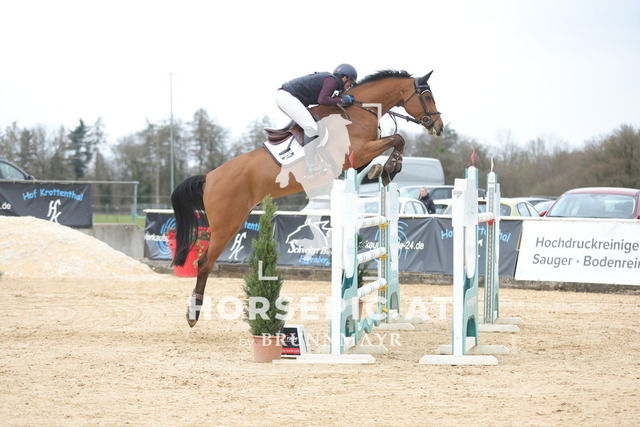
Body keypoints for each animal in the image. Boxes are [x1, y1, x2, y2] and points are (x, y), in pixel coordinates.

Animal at [171, 69, 444, 327]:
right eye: (428, 96)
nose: (438, 127)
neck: (357, 112)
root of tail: (209, 177)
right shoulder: (357, 152)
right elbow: (397, 138)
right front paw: (390, 167)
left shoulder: (359, 158)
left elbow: (394, 143)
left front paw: (386, 169)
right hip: (227, 224)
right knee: (204, 262)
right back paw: (193, 313)